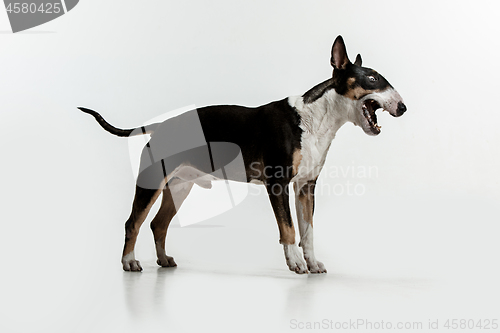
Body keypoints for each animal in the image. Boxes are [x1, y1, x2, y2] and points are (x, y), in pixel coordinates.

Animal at [79, 35, 406, 272]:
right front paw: (295, 264)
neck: (315, 119)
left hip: (180, 186)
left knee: (158, 224)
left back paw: (164, 261)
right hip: (151, 182)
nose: (403, 107)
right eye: (373, 80)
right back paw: (129, 262)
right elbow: (289, 230)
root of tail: (160, 125)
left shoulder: (306, 188)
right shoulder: (278, 184)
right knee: (133, 222)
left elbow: (308, 231)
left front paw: (312, 264)